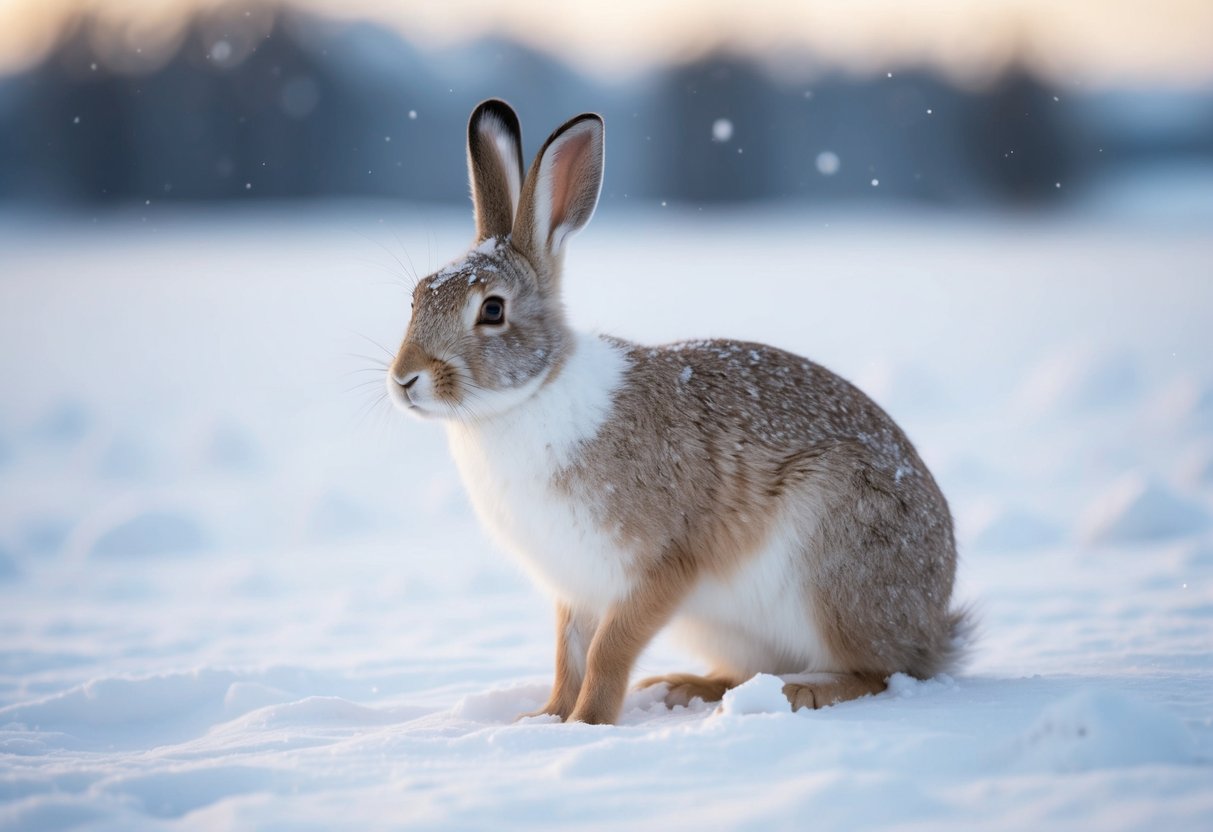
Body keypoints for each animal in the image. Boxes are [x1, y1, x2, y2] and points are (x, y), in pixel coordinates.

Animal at [386, 99, 971, 725]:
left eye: (492, 310)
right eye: (418, 297)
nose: (404, 379)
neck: (533, 392)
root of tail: (935, 626)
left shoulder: (663, 566)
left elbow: (608, 651)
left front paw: (588, 722)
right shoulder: (576, 586)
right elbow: (569, 655)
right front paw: (543, 720)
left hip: (835, 566)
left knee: (879, 672)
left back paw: (801, 693)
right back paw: (684, 687)